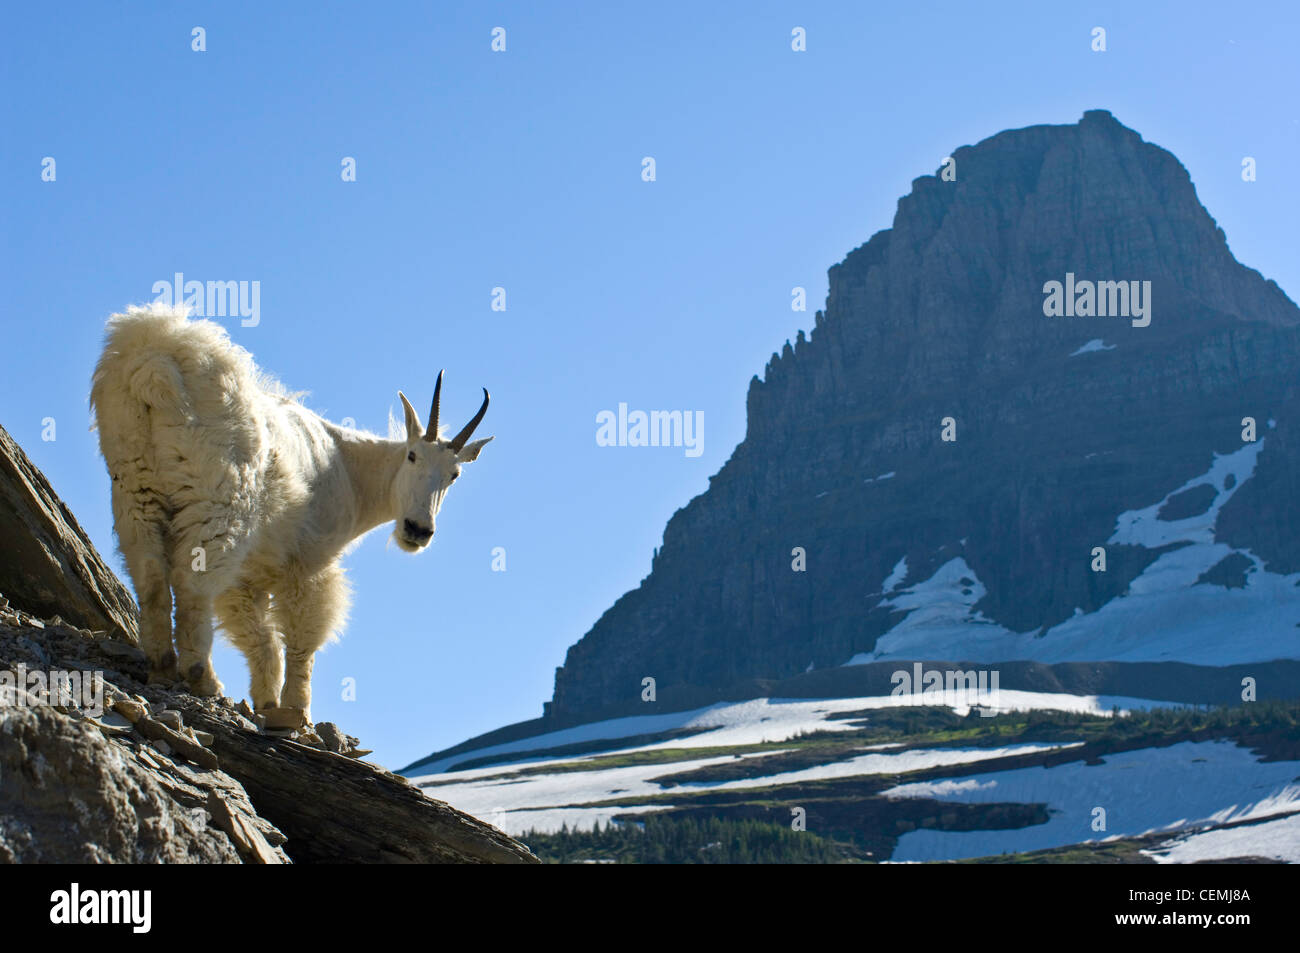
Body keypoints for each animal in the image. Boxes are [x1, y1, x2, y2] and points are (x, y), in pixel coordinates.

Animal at [87, 304, 491, 722]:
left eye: (455, 474)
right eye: (412, 456)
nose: (417, 529)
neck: (349, 468)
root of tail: (154, 361)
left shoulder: (250, 577)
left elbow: (259, 635)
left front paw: (267, 702)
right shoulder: (308, 559)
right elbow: (302, 633)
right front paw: (296, 709)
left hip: (135, 484)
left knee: (149, 573)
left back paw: (163, 666)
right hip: (219, 501)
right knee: (191, 580)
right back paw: (202, 677)